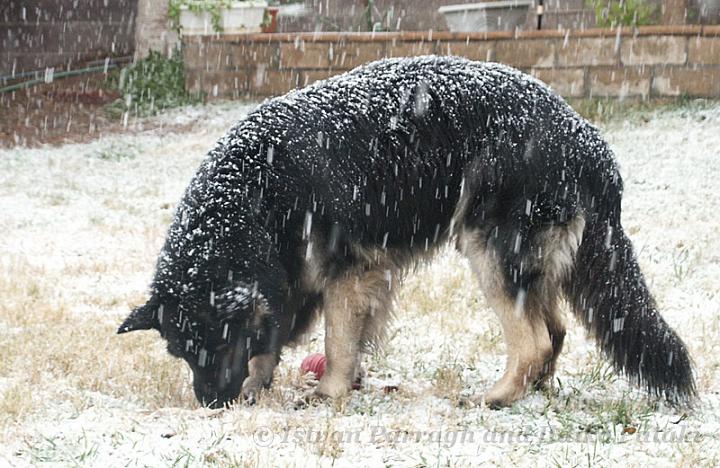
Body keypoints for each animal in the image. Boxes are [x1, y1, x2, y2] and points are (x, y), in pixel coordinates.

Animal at [118, 54, 696, 408]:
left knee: (532, 338)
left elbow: (337, 339)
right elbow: (273, 339)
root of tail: (588, 140)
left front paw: (329, 392)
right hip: (533, 259)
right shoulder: (295, 277)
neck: (254, 192)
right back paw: (531, 391)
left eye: (214, 341)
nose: (211, 404)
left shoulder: (347, 273)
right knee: (552, 331)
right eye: (182, 352)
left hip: (488, 249)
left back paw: (496, 397)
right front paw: (262, 387)